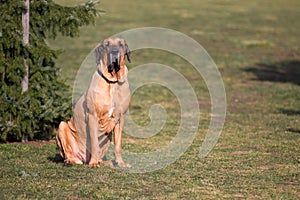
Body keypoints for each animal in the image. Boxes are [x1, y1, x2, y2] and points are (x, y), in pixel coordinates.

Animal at [56, 37, 131, 167]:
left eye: (121, 44)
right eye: (107, 45)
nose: (115, 52)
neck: (112, 82)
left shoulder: (120, 118)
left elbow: (118, 144)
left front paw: (121, 163)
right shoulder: (92, 116)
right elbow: (95, 143)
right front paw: (94, 163)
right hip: (62, 126)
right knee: (69, 154)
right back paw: (72, 161)